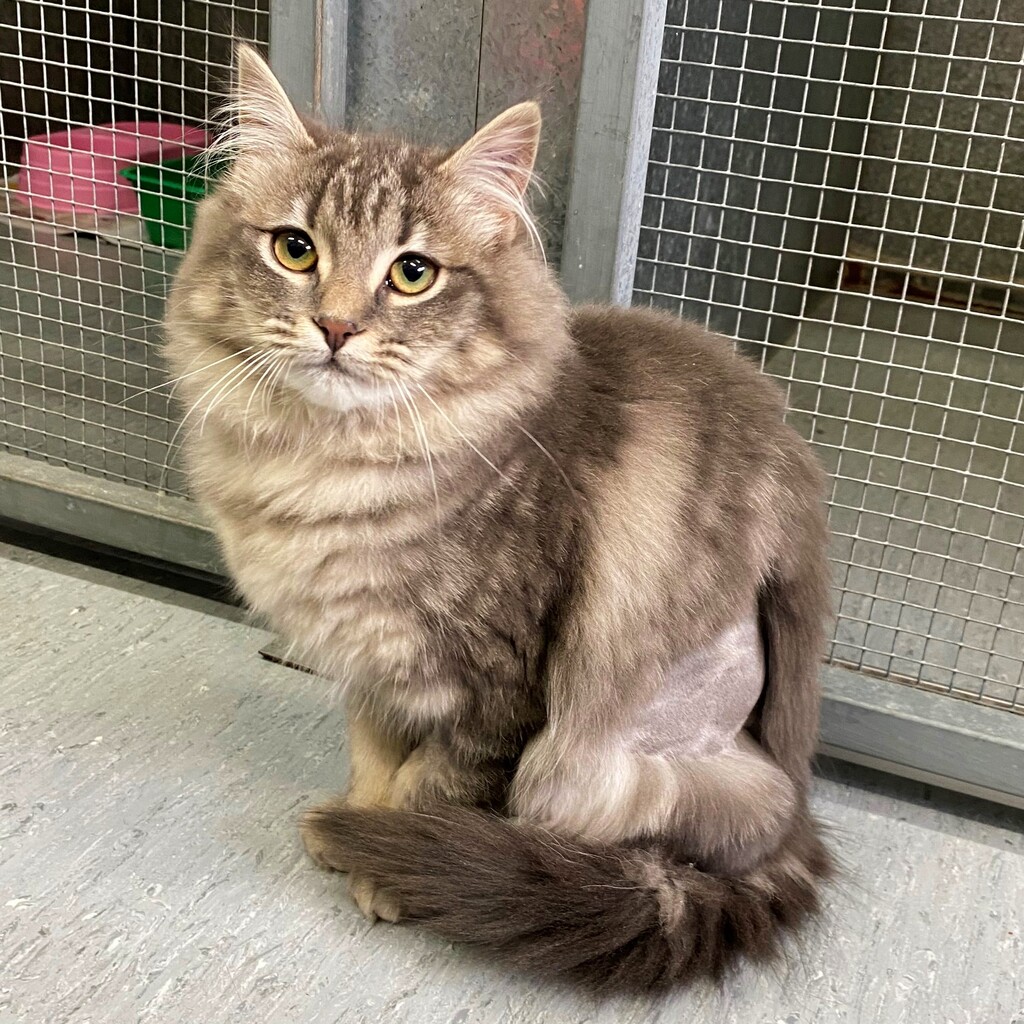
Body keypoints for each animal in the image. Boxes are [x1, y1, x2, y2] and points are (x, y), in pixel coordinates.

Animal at [165, 44, 834, 992]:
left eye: (413, 273)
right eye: (295, 250)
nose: (334, 326)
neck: (327, 467)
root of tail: (793, 807)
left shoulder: (494, 682)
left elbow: (434, 784)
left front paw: (390, 861)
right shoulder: (374, 665)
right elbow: (374, 756)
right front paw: (359, 822)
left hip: (587, 767)